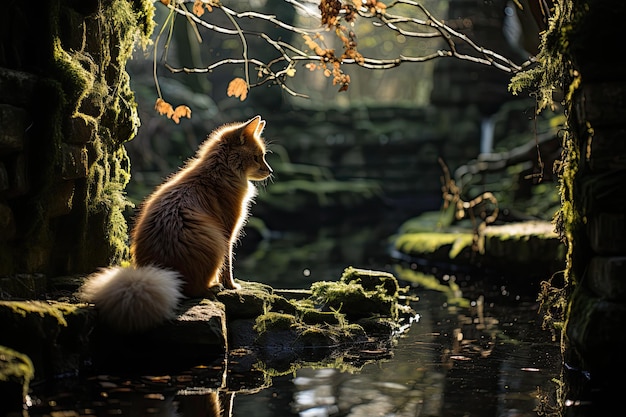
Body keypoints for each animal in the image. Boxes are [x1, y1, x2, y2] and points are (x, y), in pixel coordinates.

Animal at [78, 115, 270, 334]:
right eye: (257, 157)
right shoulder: (228, 235)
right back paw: (212, 287)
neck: (219, 172)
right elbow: (227, 267)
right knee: (195, 290)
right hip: (217, 243)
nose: (270, 171)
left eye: (262, 156)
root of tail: (161, 269)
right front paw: (231, 286)